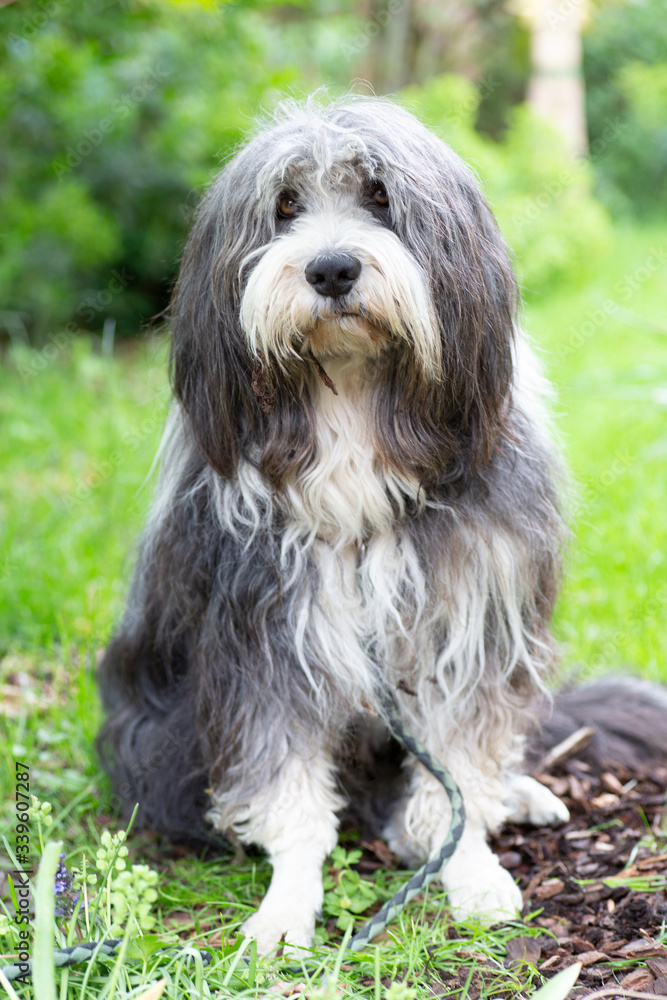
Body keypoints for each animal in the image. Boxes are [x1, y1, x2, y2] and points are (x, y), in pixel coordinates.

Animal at [96, 99, 580, 952]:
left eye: (380, 197)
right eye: (284, 206)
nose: (330, 270)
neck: (352, 392)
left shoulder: (466, 615)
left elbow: (459, 760)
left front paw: (471, 871)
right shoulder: (264, 632)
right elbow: (287, 787)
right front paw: (287, 904)